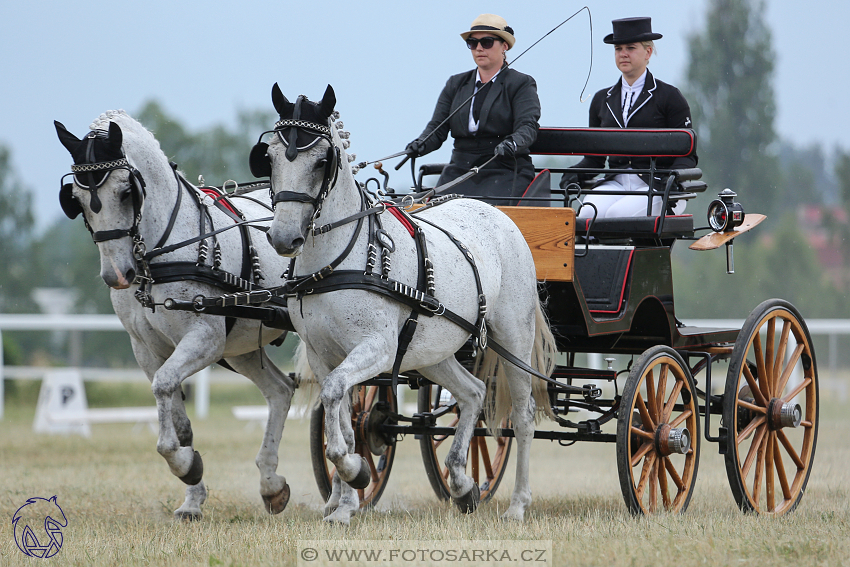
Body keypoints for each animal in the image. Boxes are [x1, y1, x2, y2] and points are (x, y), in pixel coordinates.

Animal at [53, 108, 294, 520]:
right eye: (77, 199)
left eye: (125, 191)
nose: (117, 275)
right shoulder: (146, 348)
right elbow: (179, 420)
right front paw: (192, 491)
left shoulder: (204, 339)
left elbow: (165, 387)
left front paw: (183, 464)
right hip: (243, 348)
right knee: (281, 391)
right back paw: (271, 485)